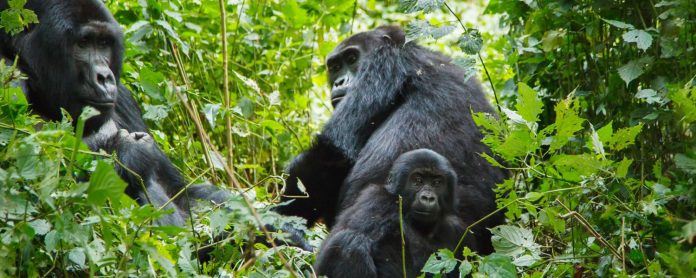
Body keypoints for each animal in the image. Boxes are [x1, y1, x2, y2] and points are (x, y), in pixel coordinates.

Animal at [0, 0, 227, 226]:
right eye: (83, 43)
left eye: (103, 43)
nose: (104, 77)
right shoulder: (9, 74)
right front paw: (127, 151)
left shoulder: (124, 99)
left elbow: (181, 193)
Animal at [278, 26, 506, 254]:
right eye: (335, 67)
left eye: (352, 58)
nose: (339, 82)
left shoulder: (382, 64)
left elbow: (331, 151)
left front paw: (281, 226)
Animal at [314, 149, 474, 276]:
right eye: (418, 180)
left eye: (437, 183)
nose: (428, 198)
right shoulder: (377, 201)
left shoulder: (458, 229)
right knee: (349, 242)